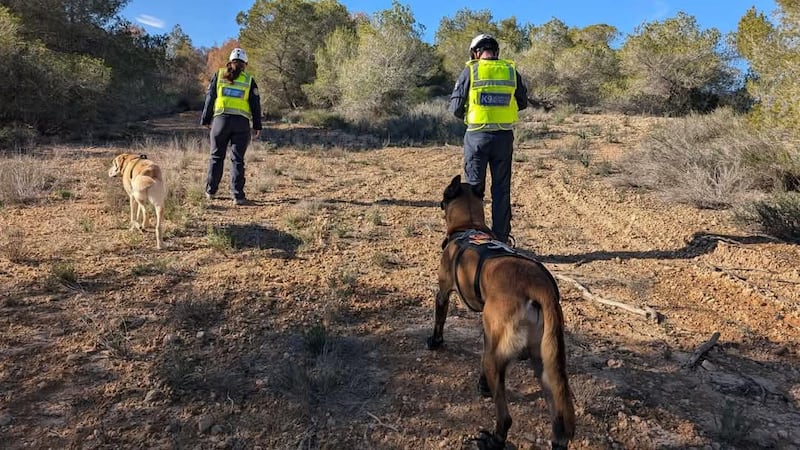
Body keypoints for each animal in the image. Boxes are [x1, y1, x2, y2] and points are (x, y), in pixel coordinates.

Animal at [424, 175, 576, 450]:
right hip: (545, 364)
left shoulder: (443, 292)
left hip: (497, 360)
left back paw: (493, 440)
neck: (469, 226)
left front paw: (435, 342)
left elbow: (439, 320)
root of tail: (539, 286)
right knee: (559, 418)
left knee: (505, 417)